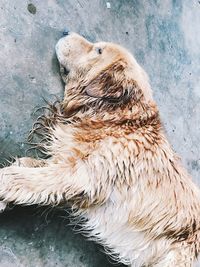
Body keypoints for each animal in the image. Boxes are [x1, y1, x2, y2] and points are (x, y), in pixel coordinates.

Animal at [0, 31, 200, 267]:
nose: (65, 32)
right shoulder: (66, 162)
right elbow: (28, 166)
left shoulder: (79, 174)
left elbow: (26, 178)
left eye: (98, 50)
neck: (115, 117)